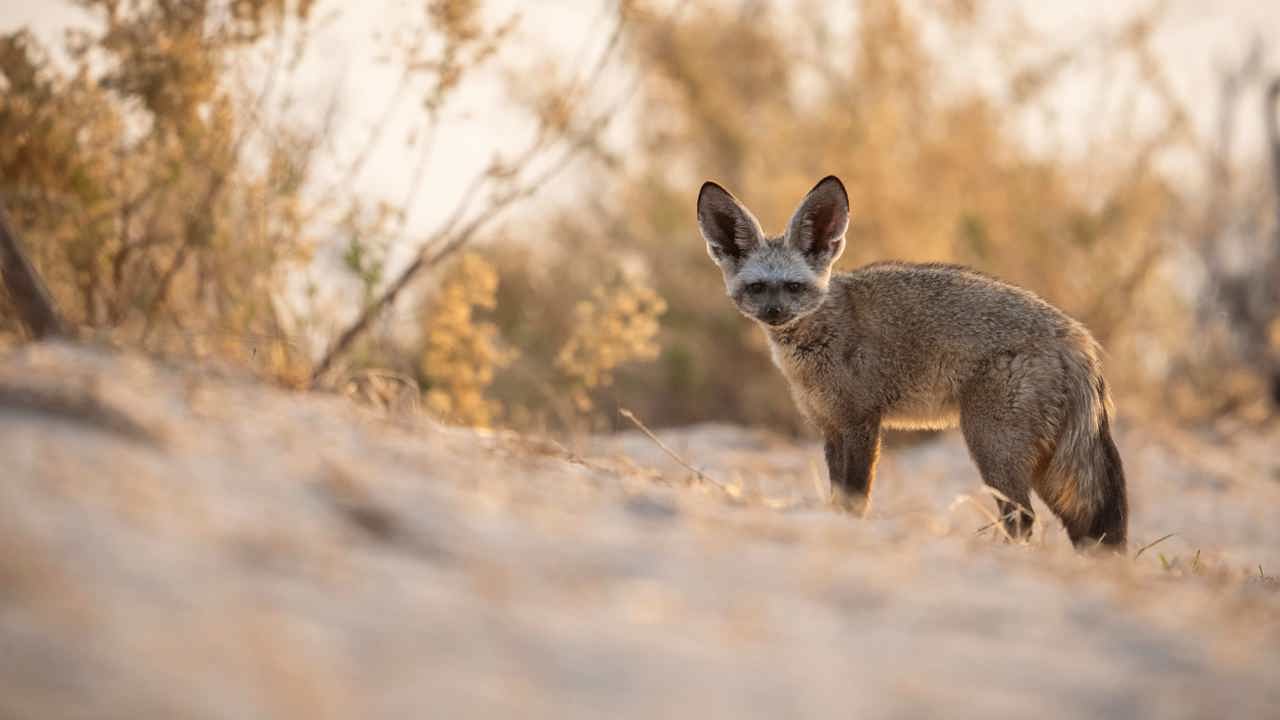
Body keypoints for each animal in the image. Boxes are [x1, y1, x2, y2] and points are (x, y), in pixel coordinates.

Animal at [696, 175, 1128, 549]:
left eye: (793, 287)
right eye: (756, 287)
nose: (774, 313)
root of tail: (1077, 335)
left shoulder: (861, 422)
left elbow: (856, 497)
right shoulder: (830, 427)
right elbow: (837, 497)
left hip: (991, 446)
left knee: (1022, 519)